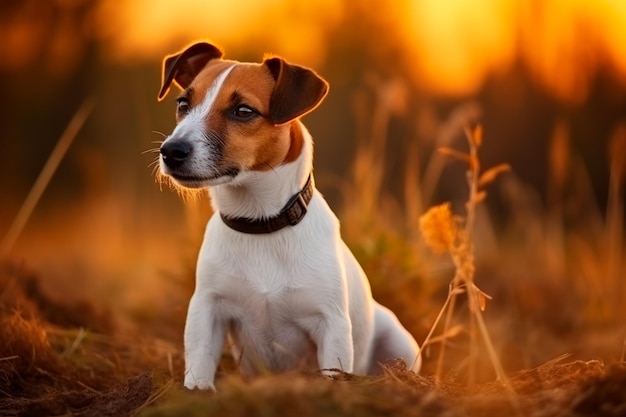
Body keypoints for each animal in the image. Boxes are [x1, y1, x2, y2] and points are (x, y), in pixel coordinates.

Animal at [157, 40, 420, 388]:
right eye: (183, 103)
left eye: (243, 111)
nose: (171, 151)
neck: (262, 224)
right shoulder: (207, 309)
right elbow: (199, 364)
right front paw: (196, 392)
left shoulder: (331, 325)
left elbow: (333, 371)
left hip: (401, 342)